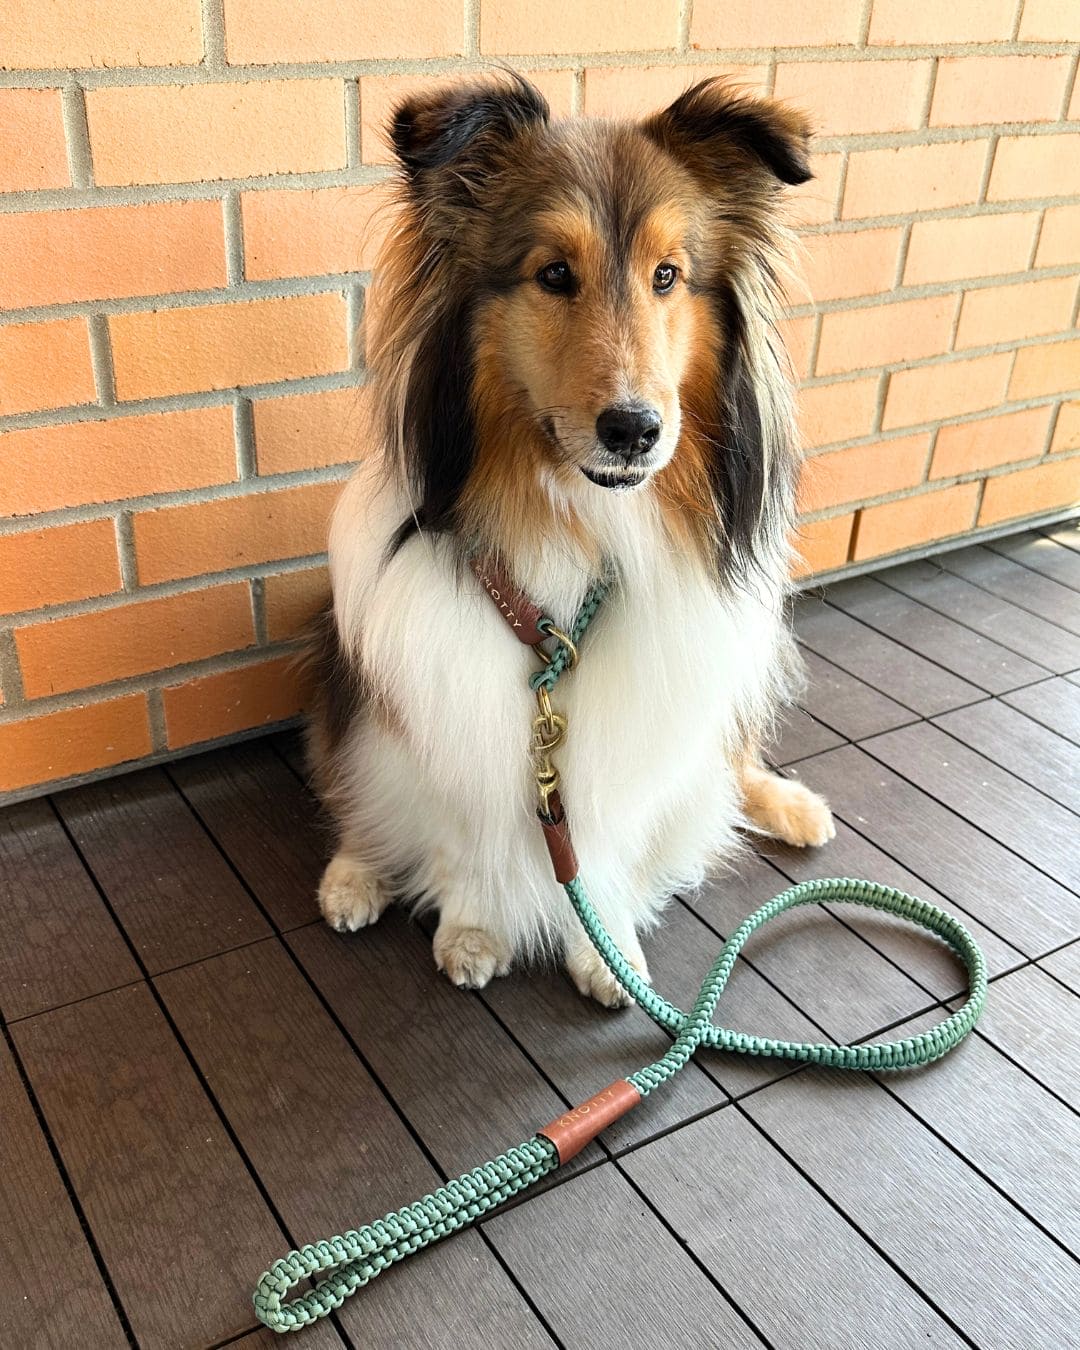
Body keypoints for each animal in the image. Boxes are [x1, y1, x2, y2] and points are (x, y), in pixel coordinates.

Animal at [303, 71, 837, 1004]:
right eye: (554, 274)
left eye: (668, 275)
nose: (635, 430)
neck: (577, 521)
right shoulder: (449, 710)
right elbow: (462, 833)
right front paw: (472, 931)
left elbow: (608, 845)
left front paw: (606, 947)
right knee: (355, 791)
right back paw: (354, 876)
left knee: (728, 765)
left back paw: (790, 806)